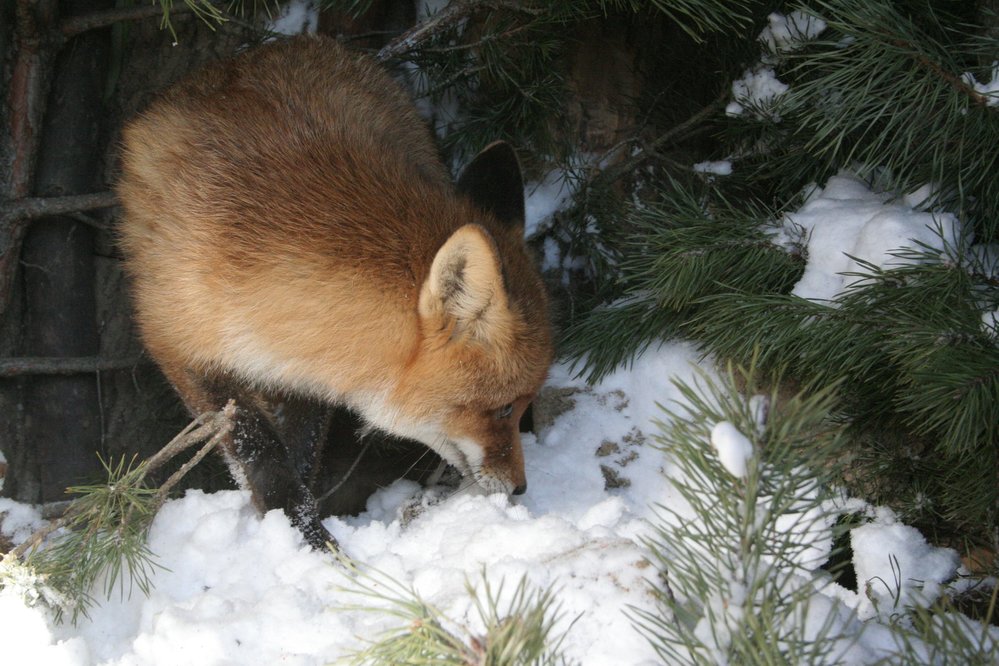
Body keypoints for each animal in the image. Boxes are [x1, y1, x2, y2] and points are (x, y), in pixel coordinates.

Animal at [119, 33, 556, 548]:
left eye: (523, 406)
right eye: (505, 407)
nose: (520, 488)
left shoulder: (306, 370)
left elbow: (303, 450)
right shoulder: (179, 342)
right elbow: (259, 448)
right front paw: (304, 535)